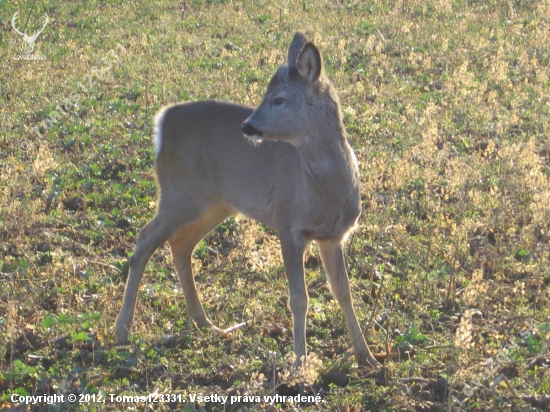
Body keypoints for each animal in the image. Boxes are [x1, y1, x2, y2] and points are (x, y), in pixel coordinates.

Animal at [116, 32, 382, 366]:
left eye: (278, 98)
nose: (247, 125)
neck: (323, 190)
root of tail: (162, 122)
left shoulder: (333, 236)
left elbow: (343, 292)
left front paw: (367, 357)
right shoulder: (288, 224)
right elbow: (299, 298)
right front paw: (299, 362)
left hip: (216, 203)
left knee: (180, 245)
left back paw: (206, 324)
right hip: (179, 193)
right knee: (144, 240)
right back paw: (122, 331)